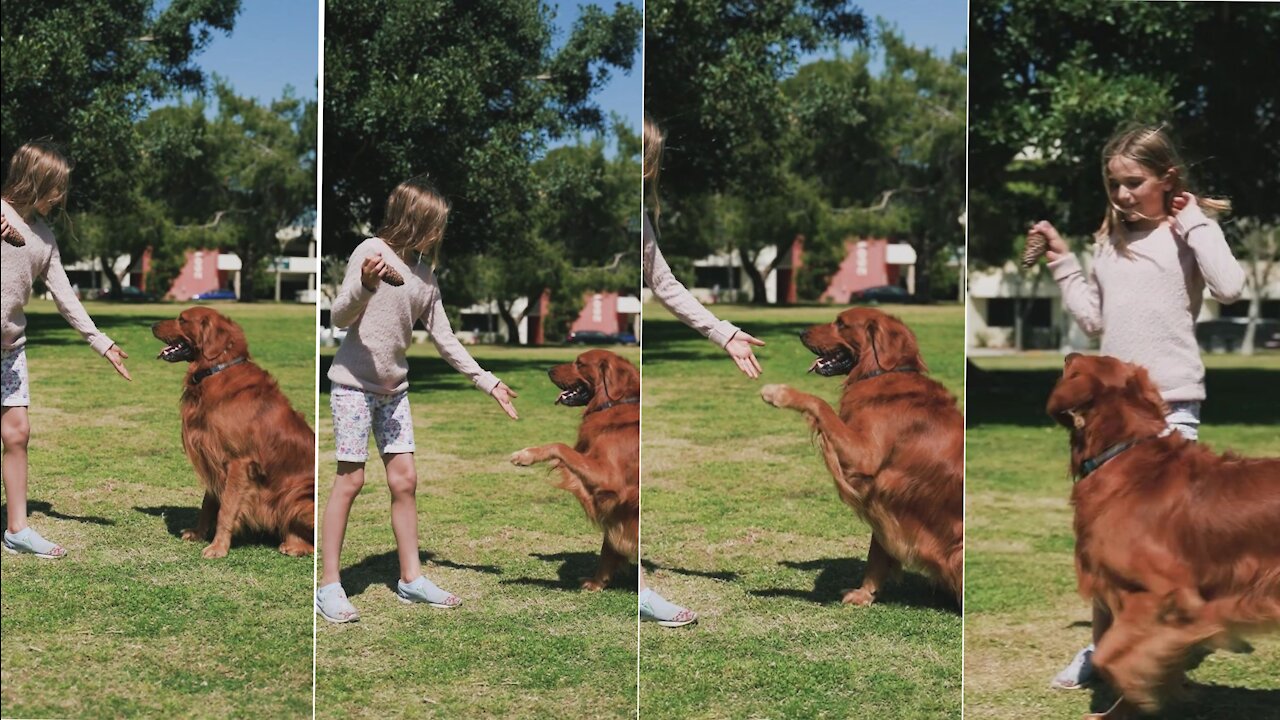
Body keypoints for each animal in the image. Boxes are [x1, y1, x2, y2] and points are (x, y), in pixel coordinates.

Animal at [152, 304, 314, 558]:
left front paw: (218, 547)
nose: (151, 325)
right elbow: (208, 504)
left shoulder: (239, 462)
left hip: (295, 496)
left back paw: (293, 545)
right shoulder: (213, 455)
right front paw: (199, 534)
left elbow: (226, 509)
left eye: (182, 319)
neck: (215, 370)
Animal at [509, 348, 640, 589]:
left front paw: (526, 455)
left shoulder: (609, 479)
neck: (616, 404)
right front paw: (598, 583)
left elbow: (559, 446)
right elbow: (607, 547)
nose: (548, 369)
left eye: (579, 363)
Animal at [757, 304, 962, 602]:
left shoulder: (865, 456)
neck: (883, 373)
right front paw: (865, 594)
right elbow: (875, 553)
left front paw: (780, 393)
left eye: (841, 324)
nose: (801, 332)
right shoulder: (882, 495)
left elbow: (821, 404)